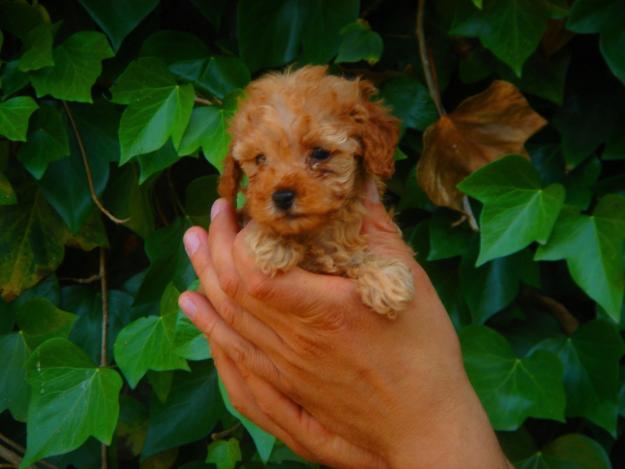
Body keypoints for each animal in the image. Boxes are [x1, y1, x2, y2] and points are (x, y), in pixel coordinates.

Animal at [219, 65, 414, 318]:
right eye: (260, 159)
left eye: (320, 153)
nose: (282, 197)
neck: (314, 233)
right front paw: (273, 242)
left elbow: (356, 256)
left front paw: (385, 278)